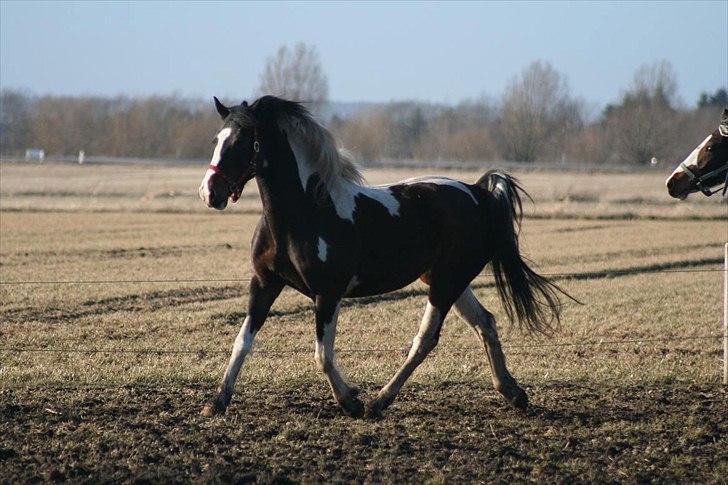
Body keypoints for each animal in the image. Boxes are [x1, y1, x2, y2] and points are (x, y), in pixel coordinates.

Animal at [199, 95, 568, 416]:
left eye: (243, 141)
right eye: (217, 138)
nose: (209, 192)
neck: (306, 212)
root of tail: (478, 193)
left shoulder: (328, 293)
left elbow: (323, 354)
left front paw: (350, 401)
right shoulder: (264, 283)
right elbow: (242, 342)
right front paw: (217, 403)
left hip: (446, 283)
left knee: (425, 339)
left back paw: (378, 403)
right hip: (451, 280)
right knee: (485, 323)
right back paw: (512, 392)